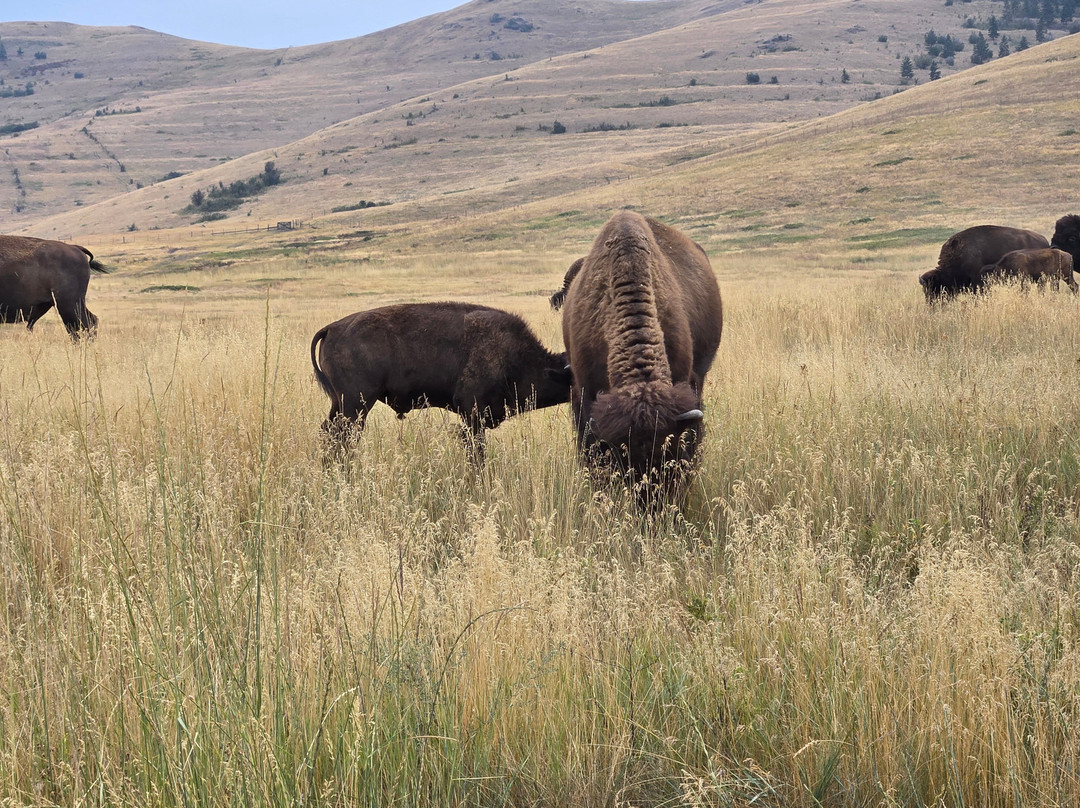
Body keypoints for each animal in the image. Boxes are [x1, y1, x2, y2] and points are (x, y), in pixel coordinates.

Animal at [310, 302, 572, 460]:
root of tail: (331, 328)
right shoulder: (472, 416)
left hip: (340, 403)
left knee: (330, 433)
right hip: (356, 405)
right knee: (343, 436)